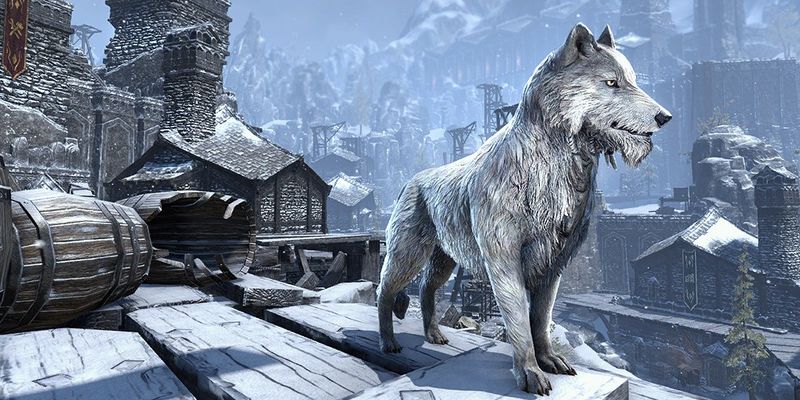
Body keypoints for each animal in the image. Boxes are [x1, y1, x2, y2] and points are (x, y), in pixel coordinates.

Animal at [376, 23, 671, 395]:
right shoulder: (504, 263)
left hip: (444, 261)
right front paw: (530, 374)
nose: (665, 117)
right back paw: (387, 343)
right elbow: (518, 322)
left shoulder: (553, 266)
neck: (552, 165)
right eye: (611, 83)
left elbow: (540, 320)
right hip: (407, 257)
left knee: (427, 288)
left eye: (632, 80)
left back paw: (434, 335)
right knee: (385, 291)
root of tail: (410, 181)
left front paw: (550, 361)